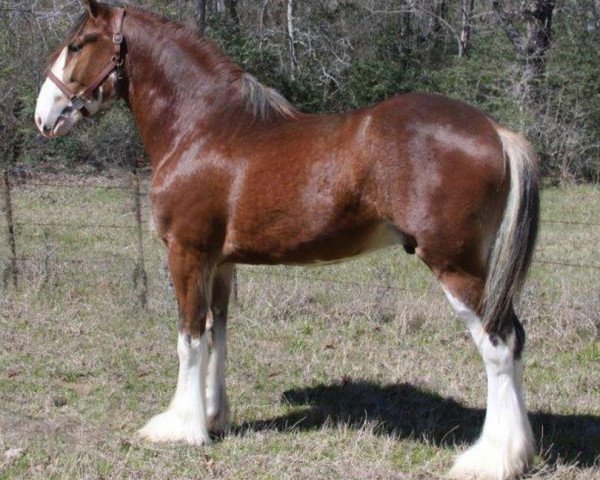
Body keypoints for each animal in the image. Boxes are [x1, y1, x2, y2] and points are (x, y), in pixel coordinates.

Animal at [34, 1, 540, 478]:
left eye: (77, 44)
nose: (42, 116)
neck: (203, 128)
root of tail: (496, 131)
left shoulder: (187, 254)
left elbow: (189, 337)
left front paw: (181, 427)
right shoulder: (220, 263)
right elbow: (218, 333)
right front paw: (214, 417)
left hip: (455, 267)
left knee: (497, 346)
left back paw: (490, 459)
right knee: (514, 339)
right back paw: (518, 453)